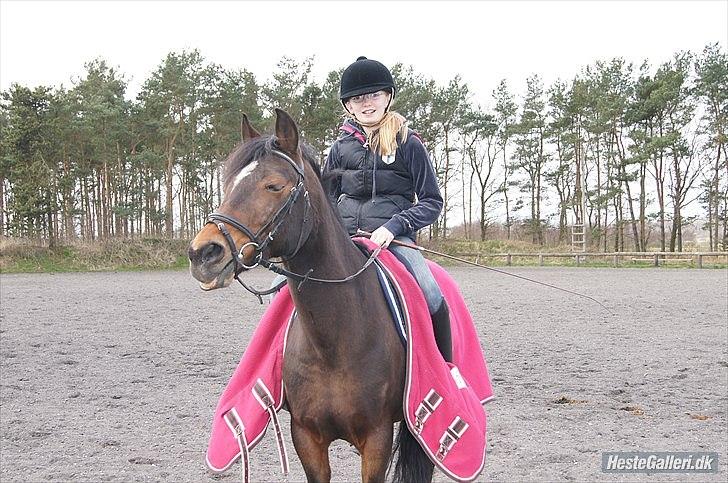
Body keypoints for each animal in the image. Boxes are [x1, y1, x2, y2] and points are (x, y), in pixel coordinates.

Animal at [188, 109, 432, 483]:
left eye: (274, 185)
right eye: (229, 185)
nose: (203, 253)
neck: (334, 342)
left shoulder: (377, 437)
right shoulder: (305, 435)